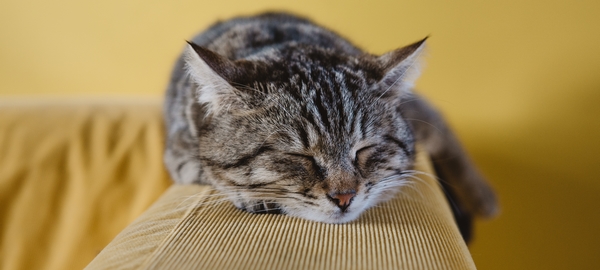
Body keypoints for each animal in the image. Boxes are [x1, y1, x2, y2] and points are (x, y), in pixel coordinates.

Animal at [163, 13, 496, 238]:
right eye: (300, 156)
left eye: (364, 149)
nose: (344, 197)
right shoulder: (179, 156)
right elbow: (209, 173)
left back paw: (483, 196)